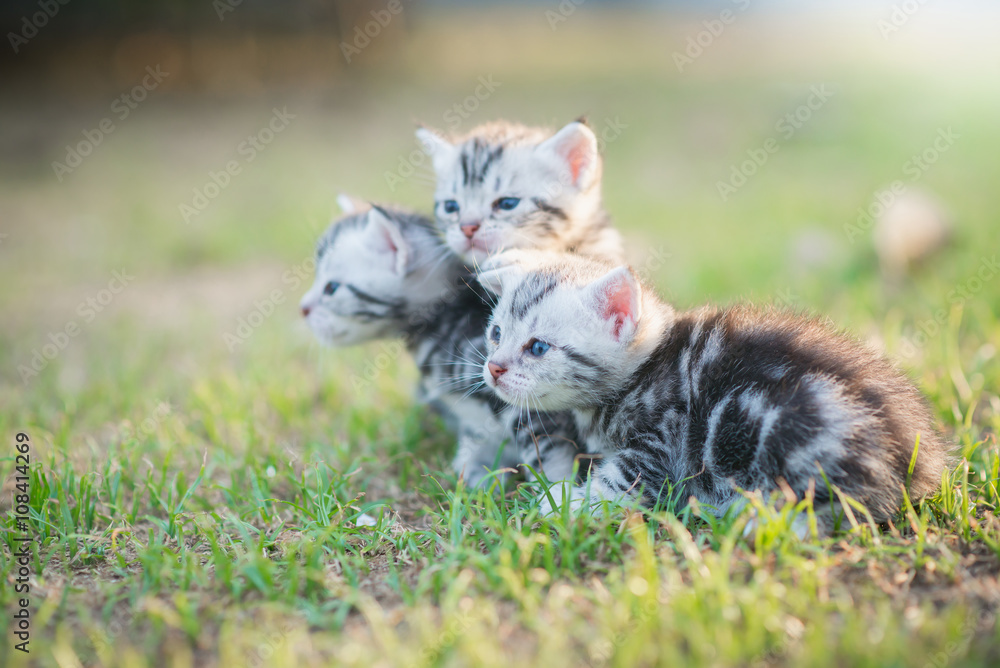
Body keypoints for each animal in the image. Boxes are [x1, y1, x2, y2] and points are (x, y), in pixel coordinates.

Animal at [300, 201, 584, 488]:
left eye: (331, 288)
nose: (303, 308)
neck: (446, 319)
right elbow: (476, 446)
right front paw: (475, 478)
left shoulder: (535, 400)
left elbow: (548, 452)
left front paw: (557, 493)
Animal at [476, 250, 944, 532]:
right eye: (495, 333)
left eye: (538, 347)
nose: (494, 367)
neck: (647, 365)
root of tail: (918, 462)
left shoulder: (663, 440)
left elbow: (623, 482)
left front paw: (563, 501)